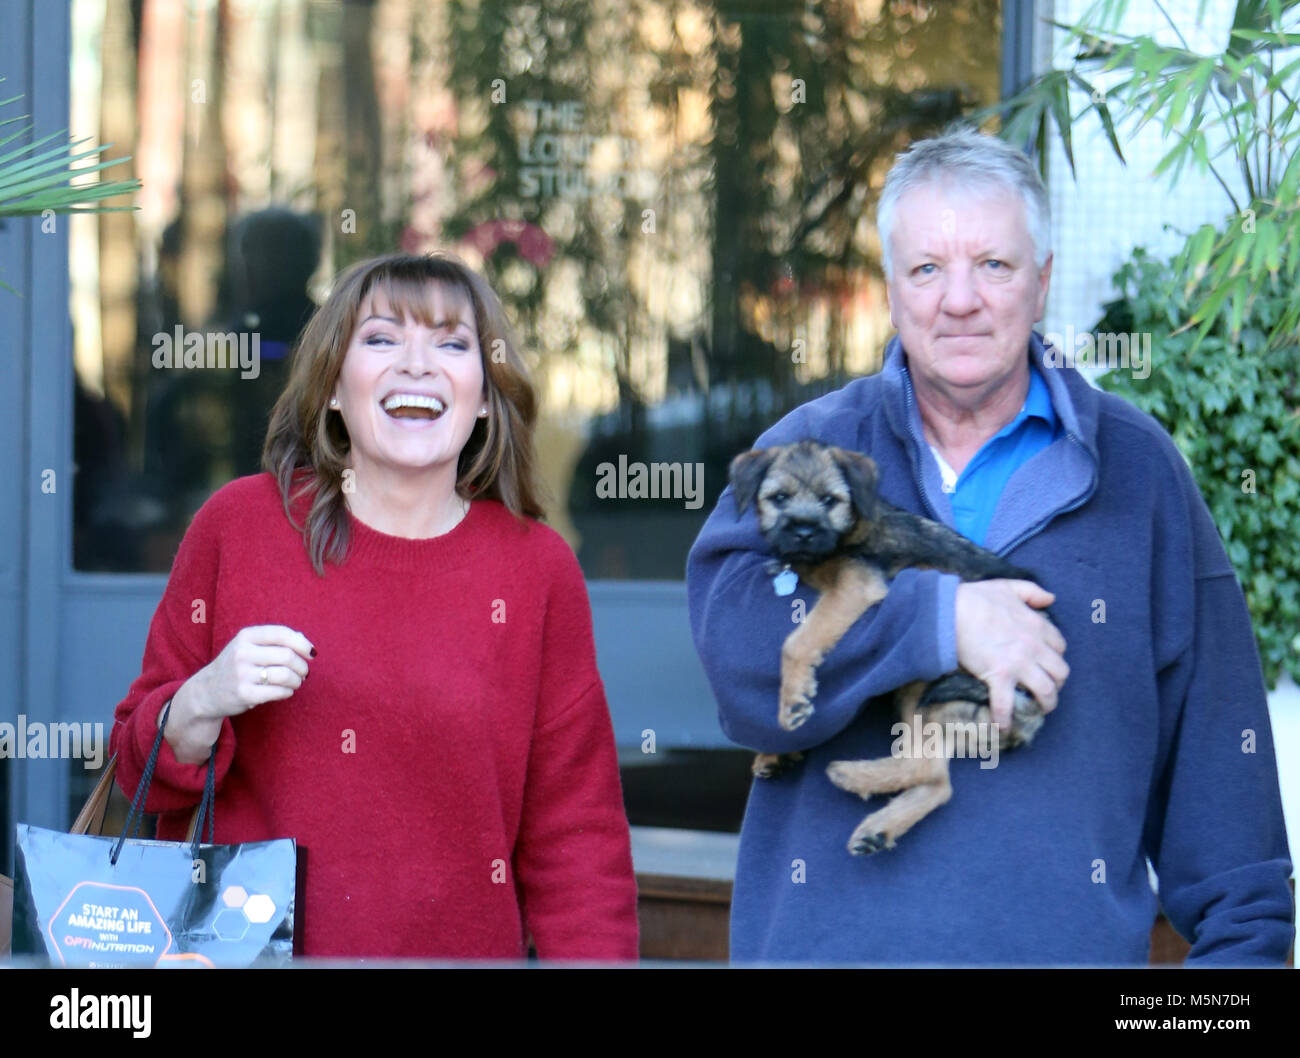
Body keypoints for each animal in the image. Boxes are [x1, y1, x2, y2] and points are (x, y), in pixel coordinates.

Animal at [733, 444, 1055, 857]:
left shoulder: (854, 586)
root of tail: (1032, 712)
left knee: (926, 768)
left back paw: (852, 775)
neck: (846, 531)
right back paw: (878, 826)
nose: (803, 532)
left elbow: (798, 642)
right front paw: (781, 746)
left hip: (923, 690)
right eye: (779, 498)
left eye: (829, 500)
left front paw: (792, 698)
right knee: (939, 782)